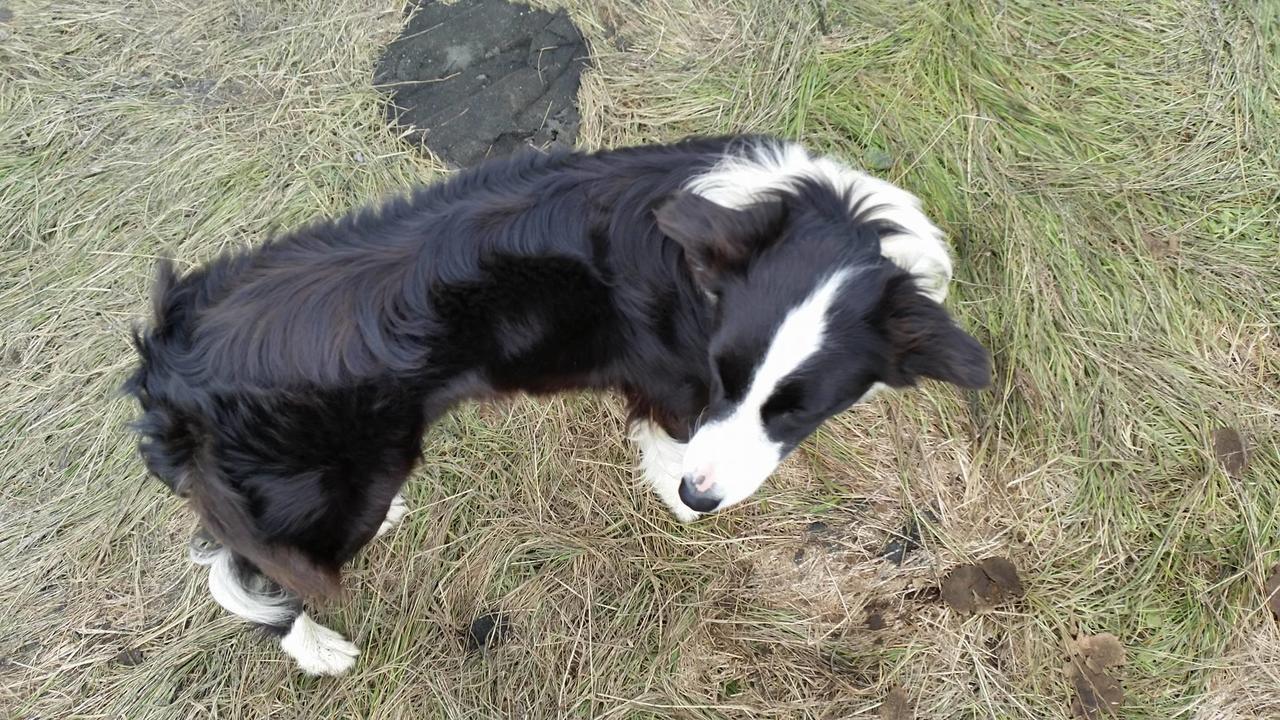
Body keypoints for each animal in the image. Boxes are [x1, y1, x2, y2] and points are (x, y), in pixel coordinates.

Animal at [127, 134, 988, 671]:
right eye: (721, 381)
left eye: (796, 413)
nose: (700, 500)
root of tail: (168, 358)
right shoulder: (674, 386)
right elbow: (673, 440)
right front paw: (678, 498)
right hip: (336, 494)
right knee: (250, 567)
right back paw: (315, 648)